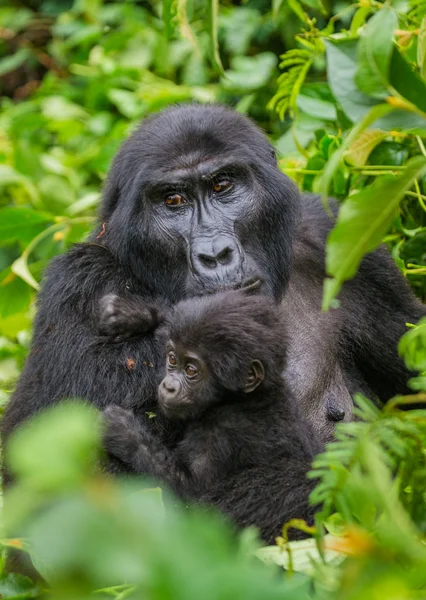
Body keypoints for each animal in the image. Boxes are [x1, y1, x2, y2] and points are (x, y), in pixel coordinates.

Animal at [104, 290, 320, 544]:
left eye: (191, 370)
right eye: (172, 359)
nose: (168, 386)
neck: (240, 398)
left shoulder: (220, 432)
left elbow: (191, 498)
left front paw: (124, 431)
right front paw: (133, 314)